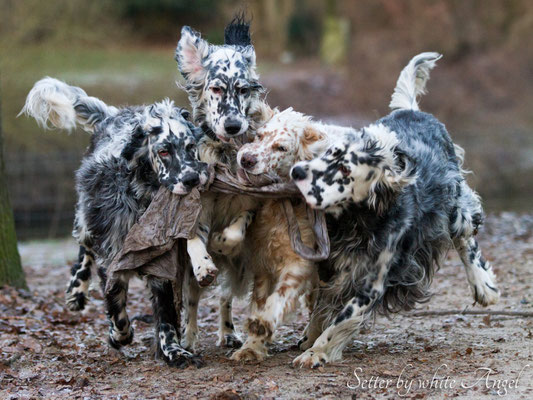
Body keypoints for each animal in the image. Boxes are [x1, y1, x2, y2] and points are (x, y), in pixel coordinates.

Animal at [20, 76, 209, 368]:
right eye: (164, 151)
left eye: (190, 147)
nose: (192, 179)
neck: (143, 197)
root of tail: (111, 116)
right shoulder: (112, 260)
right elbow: (116, 305)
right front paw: (119, 335)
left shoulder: (160, 263)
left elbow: (166, 314)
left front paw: (173, 351)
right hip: (86, 218)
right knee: (84, 249)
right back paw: (76, 290)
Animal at [288, 53, 496, 368]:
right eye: (328, 153)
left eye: (346, 170)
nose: (297, 171)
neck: (355, 221)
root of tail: (413, 111)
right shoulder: (330, 265)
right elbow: (323, 303)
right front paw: (311, 336)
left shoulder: (372, 282)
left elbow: (343, 318)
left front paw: (317, 352)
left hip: (455, 206)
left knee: (465, 239)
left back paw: (483, 286)